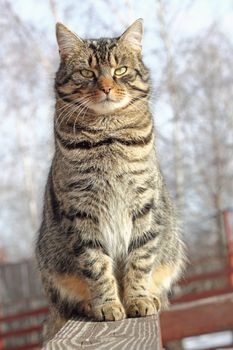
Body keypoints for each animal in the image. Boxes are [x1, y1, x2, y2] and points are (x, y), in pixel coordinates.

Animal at [36, 18, 186, 342]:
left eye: (120, 70)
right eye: (87, 72)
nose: (105, 86)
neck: (108, 135)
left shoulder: (143, 203)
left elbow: (140, 259)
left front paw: (138, 299)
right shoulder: (81, 211)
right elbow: (96, 265)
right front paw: (107, 305)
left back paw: (153, 297)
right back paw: (88, 305)